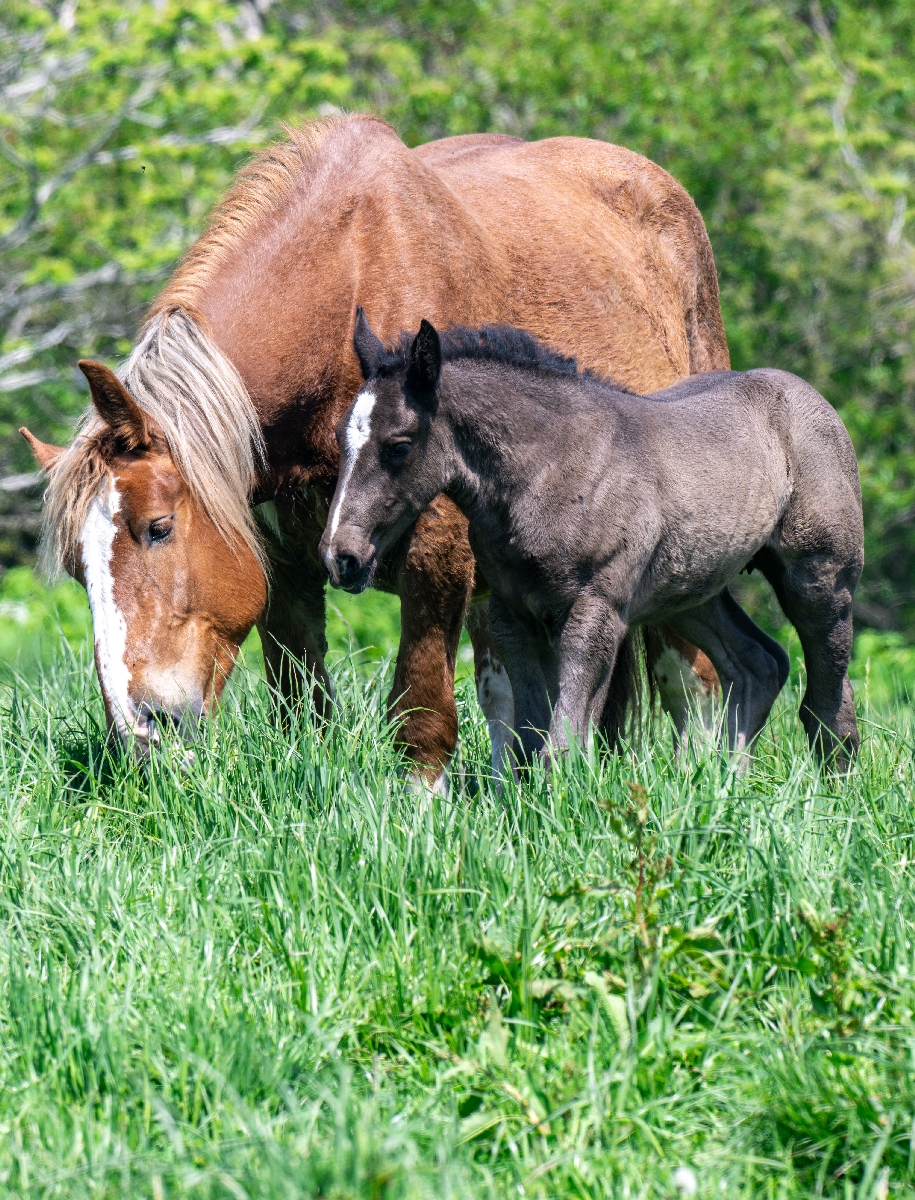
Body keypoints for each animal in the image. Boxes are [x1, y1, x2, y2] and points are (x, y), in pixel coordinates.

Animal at [21, 114, 732, 780]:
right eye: (78, 568)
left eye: (159, 528)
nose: (138, 732)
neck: (350, 287)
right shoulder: (282, 565)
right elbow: (302, 707)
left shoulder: (437, 555)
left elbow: (420, 707)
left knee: (693, 678)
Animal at [321, 315, 863, 768]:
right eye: (341, 440)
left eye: (399, 445)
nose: (340, 556)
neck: (552, 470)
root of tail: (808, 397)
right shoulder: (512, 615)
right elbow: (529, 740)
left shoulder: (596, 611)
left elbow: (563, 743)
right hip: (690, 593)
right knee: (759, 664)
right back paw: (724, 786)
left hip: (819, 577)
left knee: (827, 704)